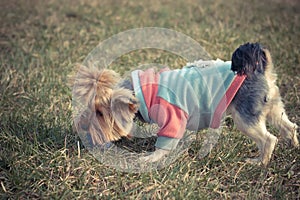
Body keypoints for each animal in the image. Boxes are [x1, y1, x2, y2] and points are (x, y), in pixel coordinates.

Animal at [72, 42, 298, 166]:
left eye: (100, 113)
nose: (81, 125)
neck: (142, 92)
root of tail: (260, 69)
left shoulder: (174, 118)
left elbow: (163, 145)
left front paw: (149, 159)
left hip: (245, 117)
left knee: (269, 139)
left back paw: (260, 162)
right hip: (273, 107)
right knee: (290, 126)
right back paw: (294, 145)